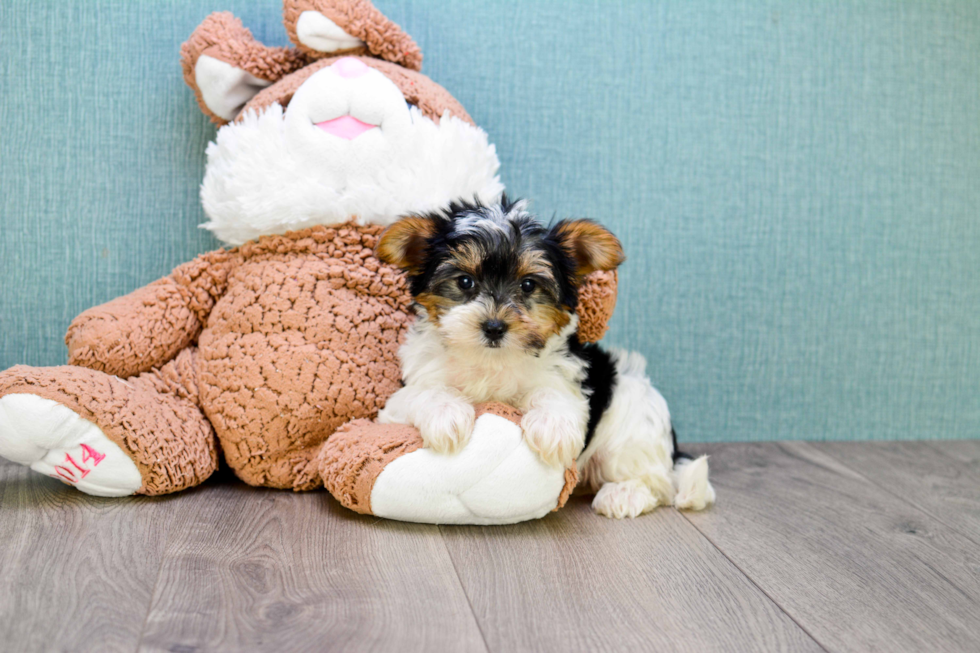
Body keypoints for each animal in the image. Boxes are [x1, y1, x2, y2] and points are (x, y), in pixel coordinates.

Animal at [376, 197, 712, 516]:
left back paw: (624, 494)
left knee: (657, 483)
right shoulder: (400, 400)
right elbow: (427, 392)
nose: (494, 327)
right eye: (465, 281)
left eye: (528, 285)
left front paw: (553, 428)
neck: (491, 360)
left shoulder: (565, 378)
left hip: (631, 432)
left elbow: (554, 394)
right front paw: (447, 415)